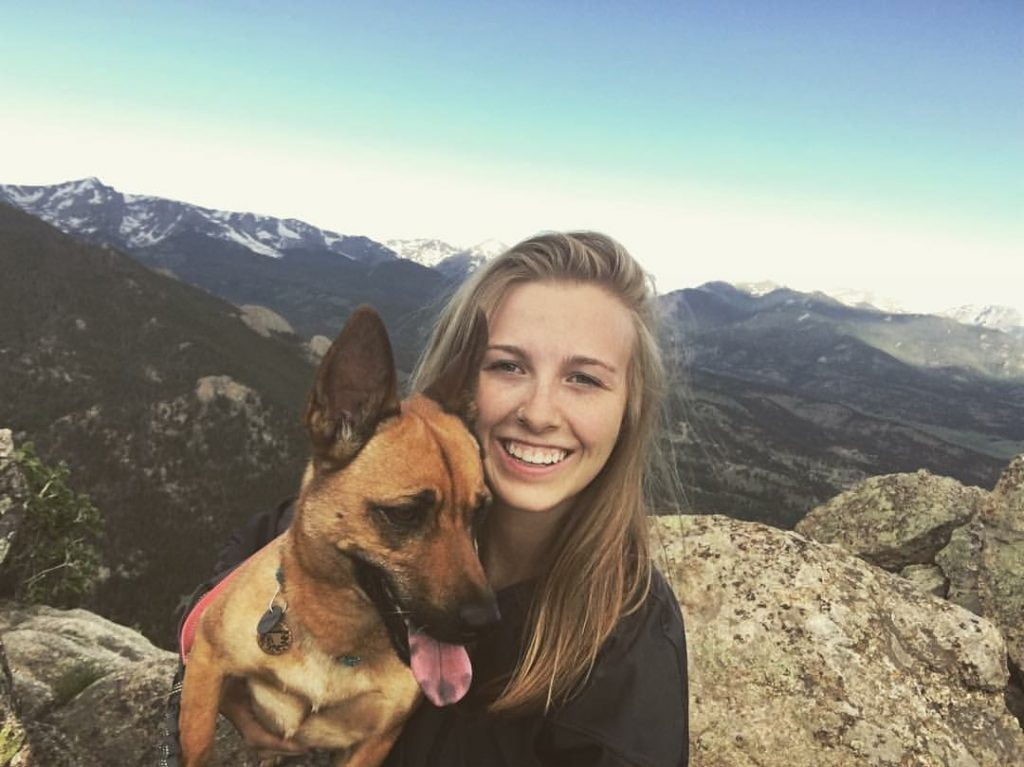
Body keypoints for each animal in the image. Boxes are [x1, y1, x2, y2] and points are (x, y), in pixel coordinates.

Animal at [179, 307, 499, 765]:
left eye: (480, 512)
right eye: (405, 514)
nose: (486, 624)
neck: (336, 637)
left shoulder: (375, 741)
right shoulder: (205, 664)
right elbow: (197, 747)